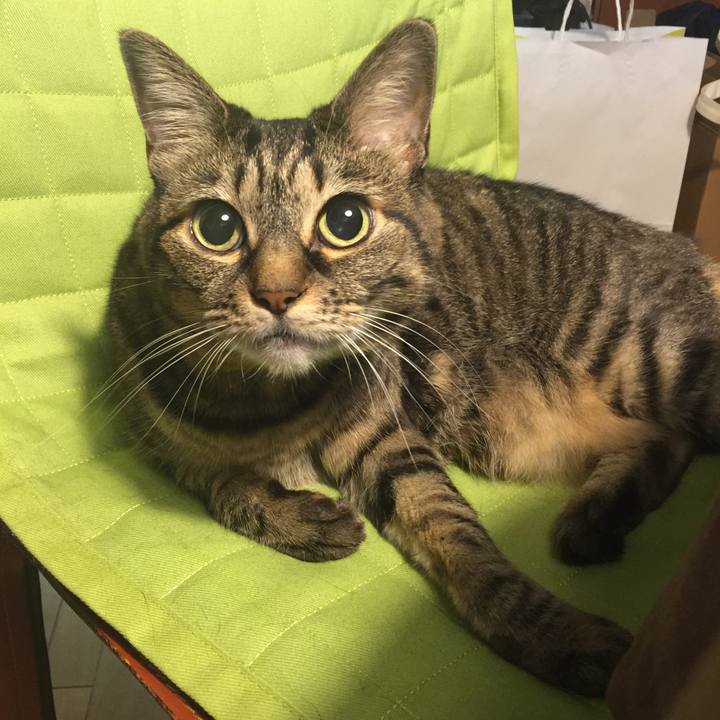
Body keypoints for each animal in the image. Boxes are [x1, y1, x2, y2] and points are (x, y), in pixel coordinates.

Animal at [110, 19, 720, 697]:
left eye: (345, 220)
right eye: (217, 227)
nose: (276, 295)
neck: (266, 406)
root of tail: (686, 249)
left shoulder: (389, 440)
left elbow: (461, 541)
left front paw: (557, 635)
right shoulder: (164, 446)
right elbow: (225, 486)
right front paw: (302, 518)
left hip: (661, 360)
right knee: (667, 441)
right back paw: (598, 517)